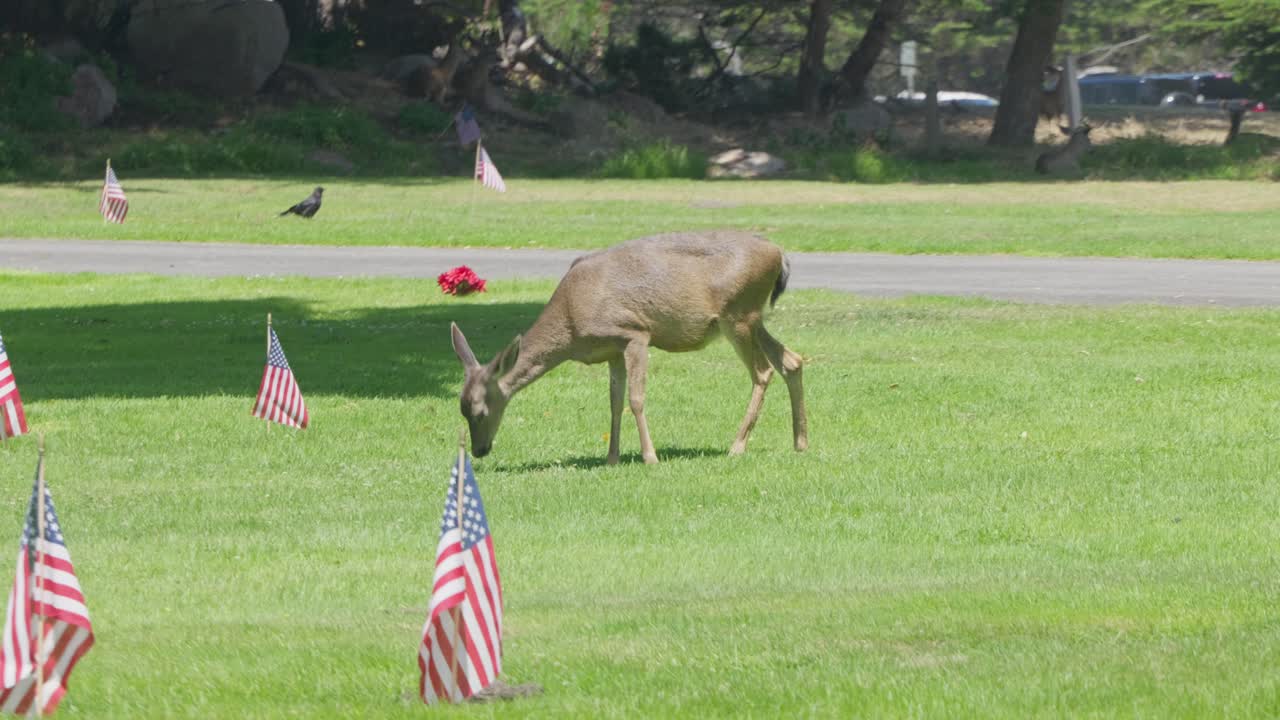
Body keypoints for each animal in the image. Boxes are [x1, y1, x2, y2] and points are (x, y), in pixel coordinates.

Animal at [450, 231, 808, 465]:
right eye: (461, 410)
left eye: (480, 412)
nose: (479, 451)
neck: (571, 325)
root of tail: (780, 254)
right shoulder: (611, 350)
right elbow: (614, 401)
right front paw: (612, 457)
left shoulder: (634, 332)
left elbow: (635, 398)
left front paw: (650, 457)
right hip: (751, 318)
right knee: (791, 360)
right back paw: (800, 442)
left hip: (738, 314)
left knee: (763, 371)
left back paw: (737, 446)